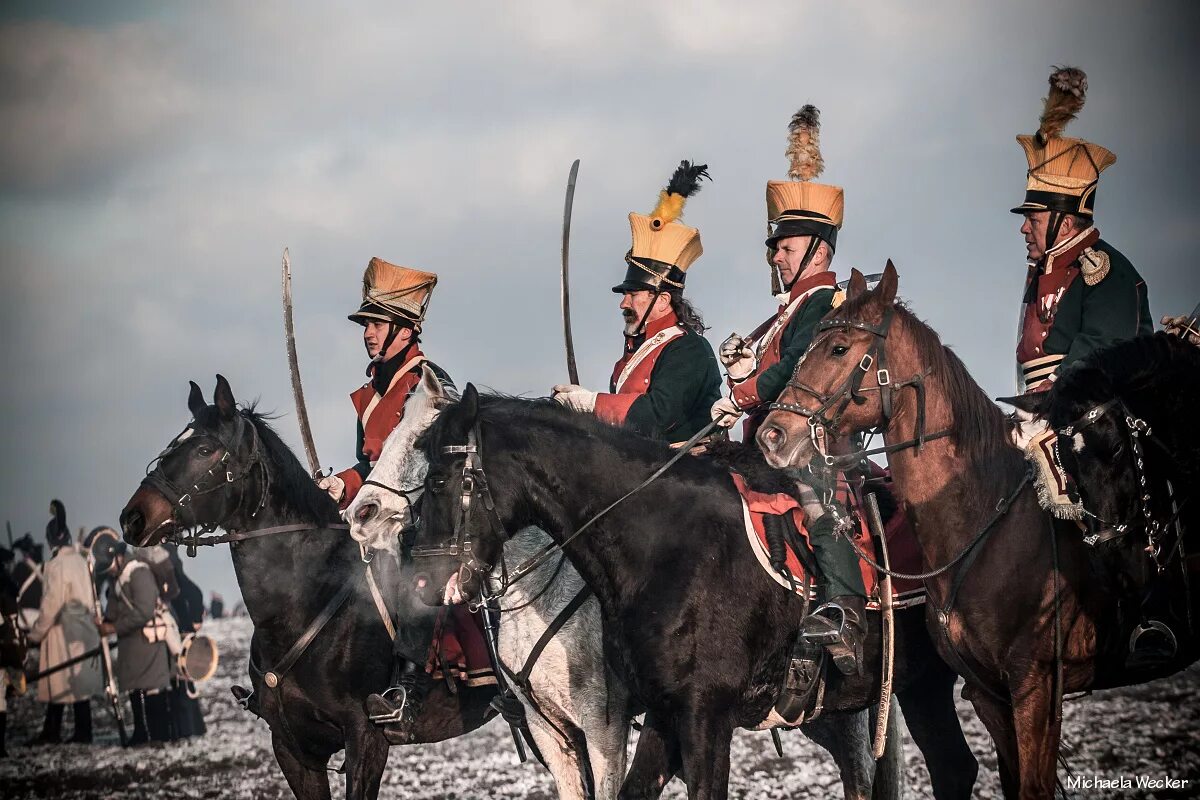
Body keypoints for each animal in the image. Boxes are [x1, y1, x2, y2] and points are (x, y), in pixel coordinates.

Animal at [119, 376, 494, 800]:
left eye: (204, 449)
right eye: (174, 443)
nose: (133, 518)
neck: (303, 605)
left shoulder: (366, 739)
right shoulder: (292, 749)